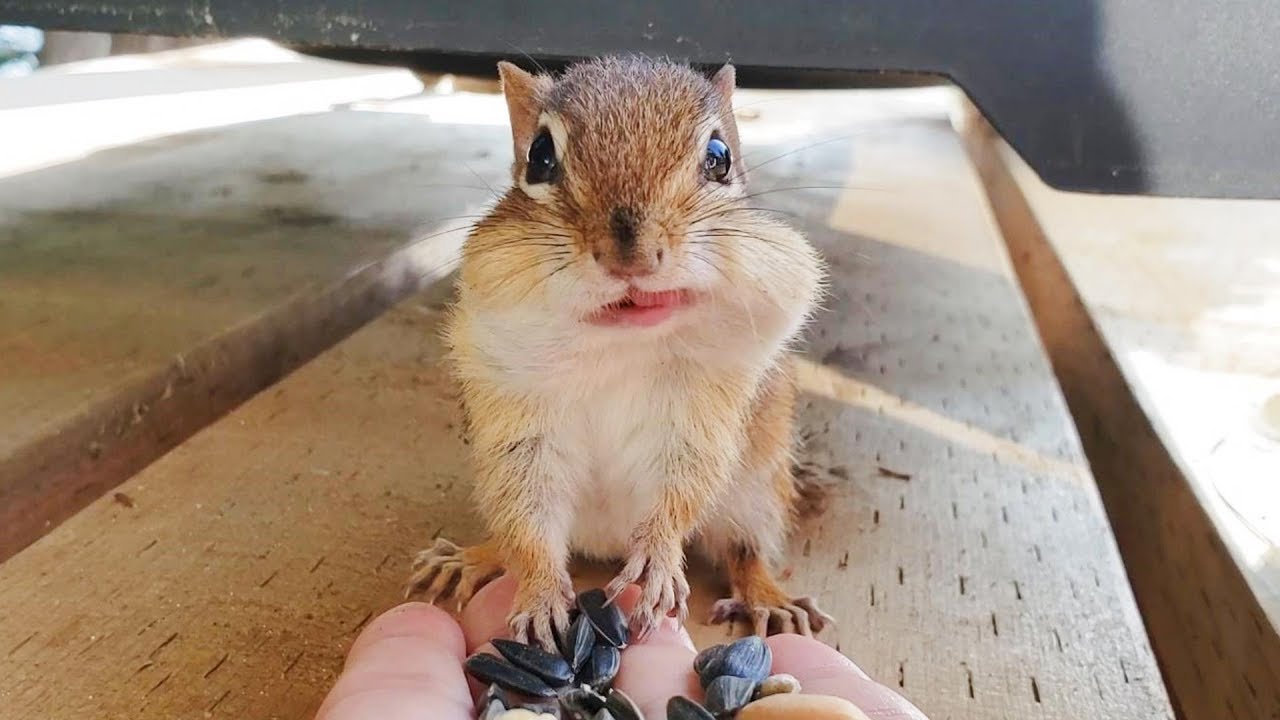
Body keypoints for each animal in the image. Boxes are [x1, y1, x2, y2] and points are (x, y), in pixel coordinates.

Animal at [406, 55, 832, 649]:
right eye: (540, 157)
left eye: (719, 158)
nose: (631, 255)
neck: (620, 344)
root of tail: (605, 545)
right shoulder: (517, 422)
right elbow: (529, 520)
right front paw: (540, 593)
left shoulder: (702, 415)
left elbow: (681, 491)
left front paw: (657, 559)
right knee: (511, 533)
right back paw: (475, 557)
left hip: (755, 492)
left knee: (744, 550)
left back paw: (768, 598)